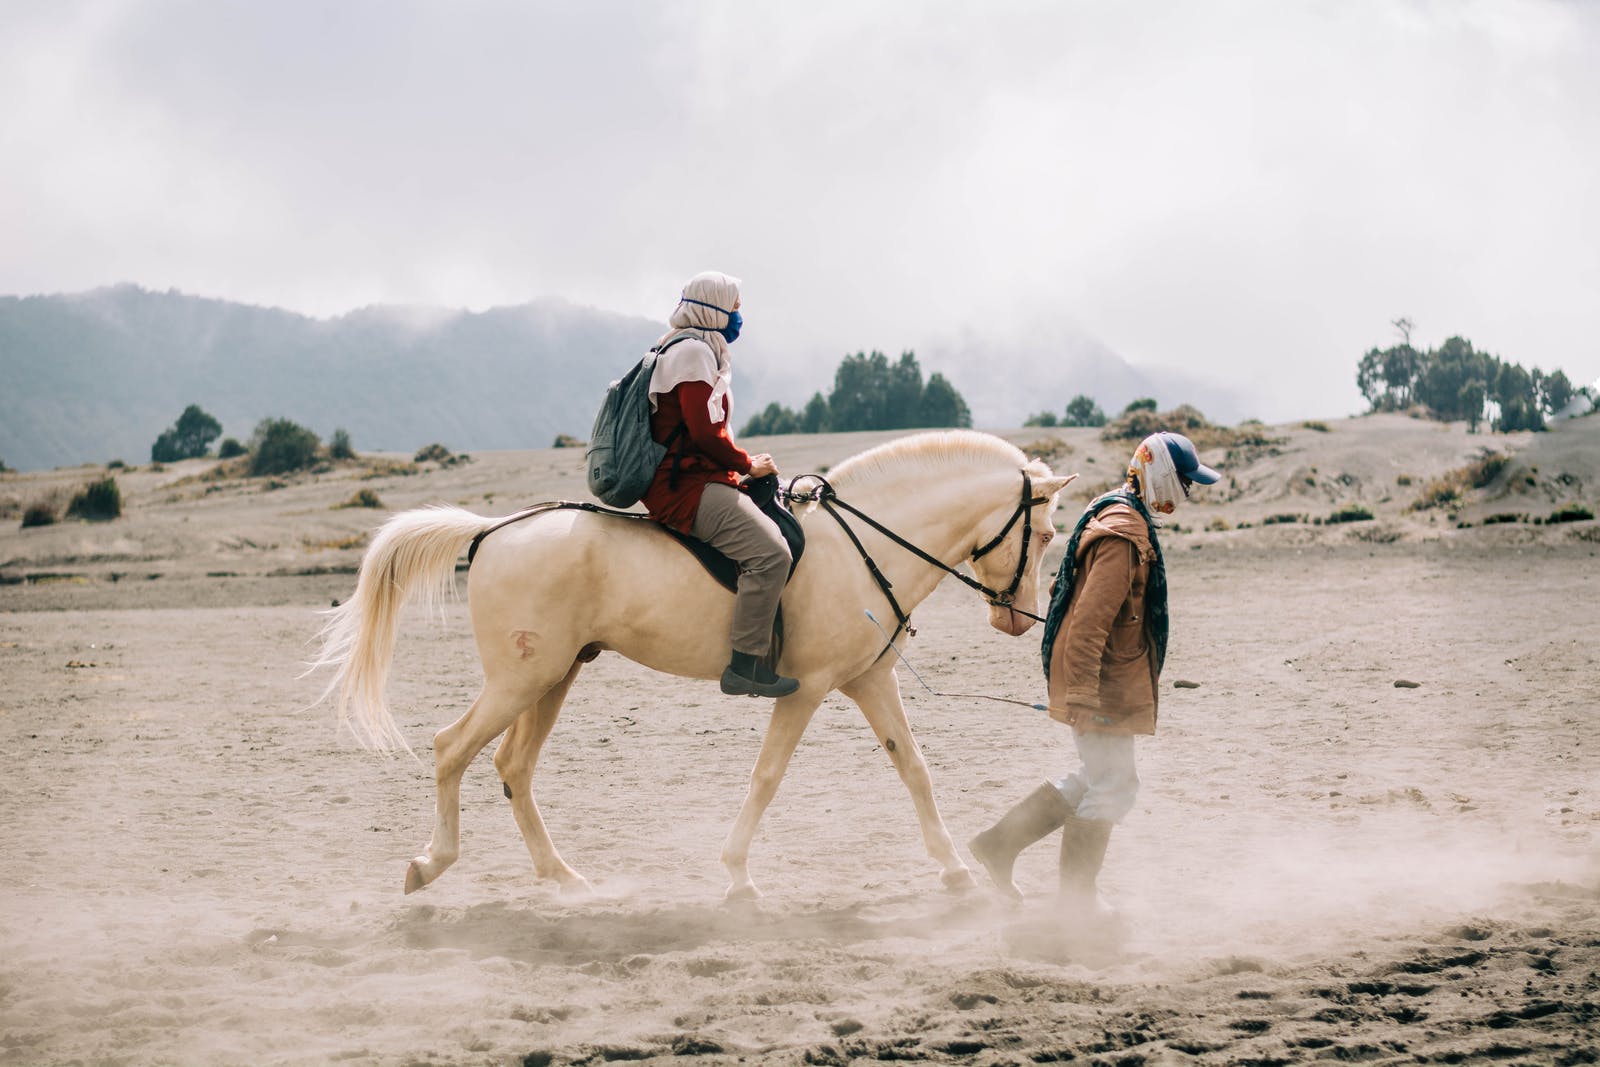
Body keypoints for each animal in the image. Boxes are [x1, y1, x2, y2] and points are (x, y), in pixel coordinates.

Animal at [308, 431, 1075, 902]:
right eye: (1042, 534)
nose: (1017, 619)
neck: (865, 546)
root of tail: (492, 529)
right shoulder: (807, 690)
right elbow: (767, 778)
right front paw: (736, 876)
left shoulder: (869, 680)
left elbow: (914, 769)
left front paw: (955, 870)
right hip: (521, 680)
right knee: (451, 748)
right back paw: (431, 863)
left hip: (553, 678)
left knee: (511, 768)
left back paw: (562, 876)